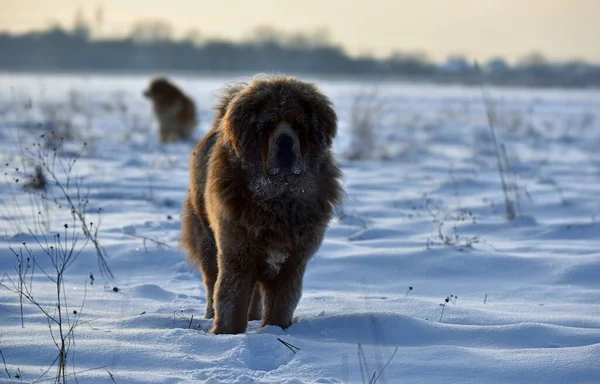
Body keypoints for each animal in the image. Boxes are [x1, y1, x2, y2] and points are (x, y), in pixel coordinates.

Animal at [179, 74, 342, 332]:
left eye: (298, 125)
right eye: (267, 126)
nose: (285, 142)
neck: (278, 199)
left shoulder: (292, 264)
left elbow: (281, 304)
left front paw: (274, 330)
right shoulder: (237, 255)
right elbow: (231, 300)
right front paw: (227, 333)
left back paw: (254, 317)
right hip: (207, 240)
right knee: (212, 281)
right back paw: (211, 313)